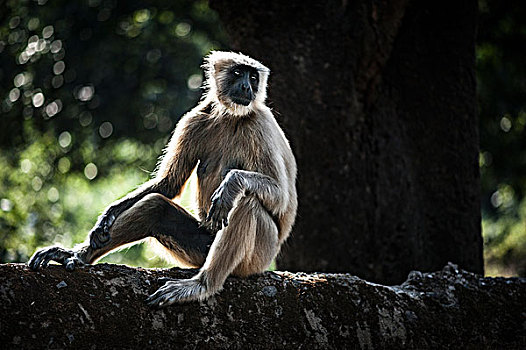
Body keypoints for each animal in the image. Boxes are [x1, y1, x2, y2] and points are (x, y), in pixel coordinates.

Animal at [29, 50, 296, 308]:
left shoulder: (259, 123)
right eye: (239, 73)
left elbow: (280, 198)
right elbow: (169, 184)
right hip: (200, 248)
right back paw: (78, 256)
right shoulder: (193, 119)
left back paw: (203, 285)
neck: (231, 116)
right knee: (155, 206)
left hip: (257, 258)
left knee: (248, 203)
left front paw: (231, 184)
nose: (246, 87)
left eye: (253, 77)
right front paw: (108, 216)